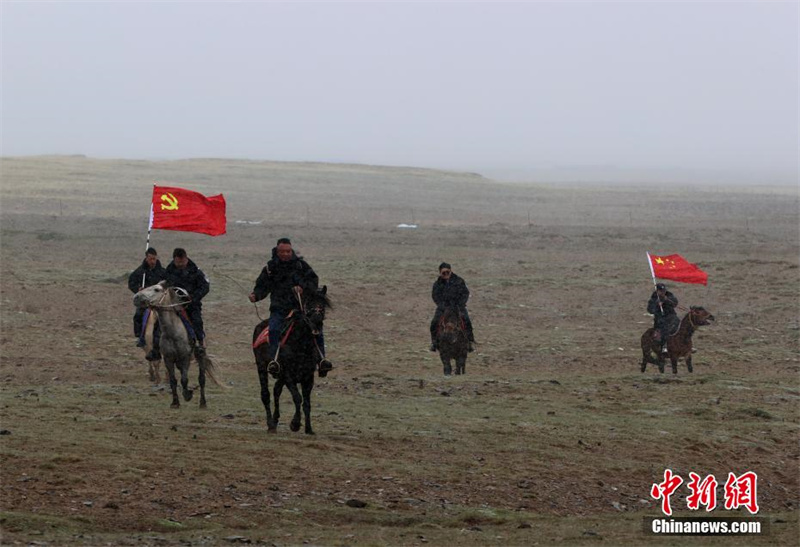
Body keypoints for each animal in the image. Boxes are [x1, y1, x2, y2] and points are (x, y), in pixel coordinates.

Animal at [255, 286, 332, 436]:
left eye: (323, 305)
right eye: (308, 304)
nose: (317, 321)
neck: (300, 344)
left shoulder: (308, 377)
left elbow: (307, 403)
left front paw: (309, 428)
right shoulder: (288, 375)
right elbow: (297, 397)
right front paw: (295, 424)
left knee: (276, 390)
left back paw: (275, 420)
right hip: (261, 368)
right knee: (265, 394)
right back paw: (270, 424)